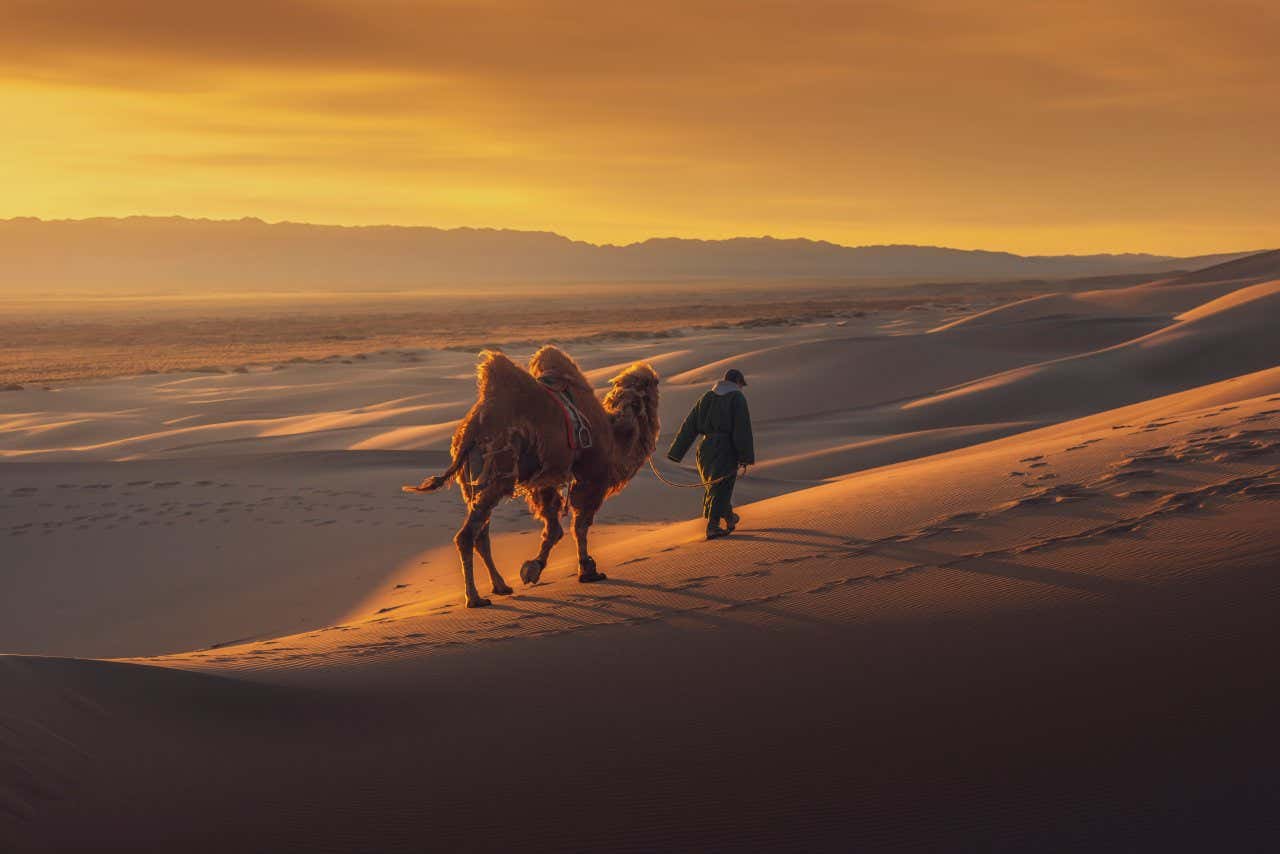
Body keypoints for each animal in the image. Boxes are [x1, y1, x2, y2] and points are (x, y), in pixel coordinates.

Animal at [404, 348, 660, 606]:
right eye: (650, 383)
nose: (654, 381)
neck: (615, 436)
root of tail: (469, 432)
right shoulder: (592, 477)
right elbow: (580, 525)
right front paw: (587, 571)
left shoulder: (544, 481)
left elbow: (554, 527)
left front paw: (533, 568)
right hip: (499, 471)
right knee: (467, 536)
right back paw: (474, 598)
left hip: (473, 482)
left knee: (481, 534)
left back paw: (501, 586)